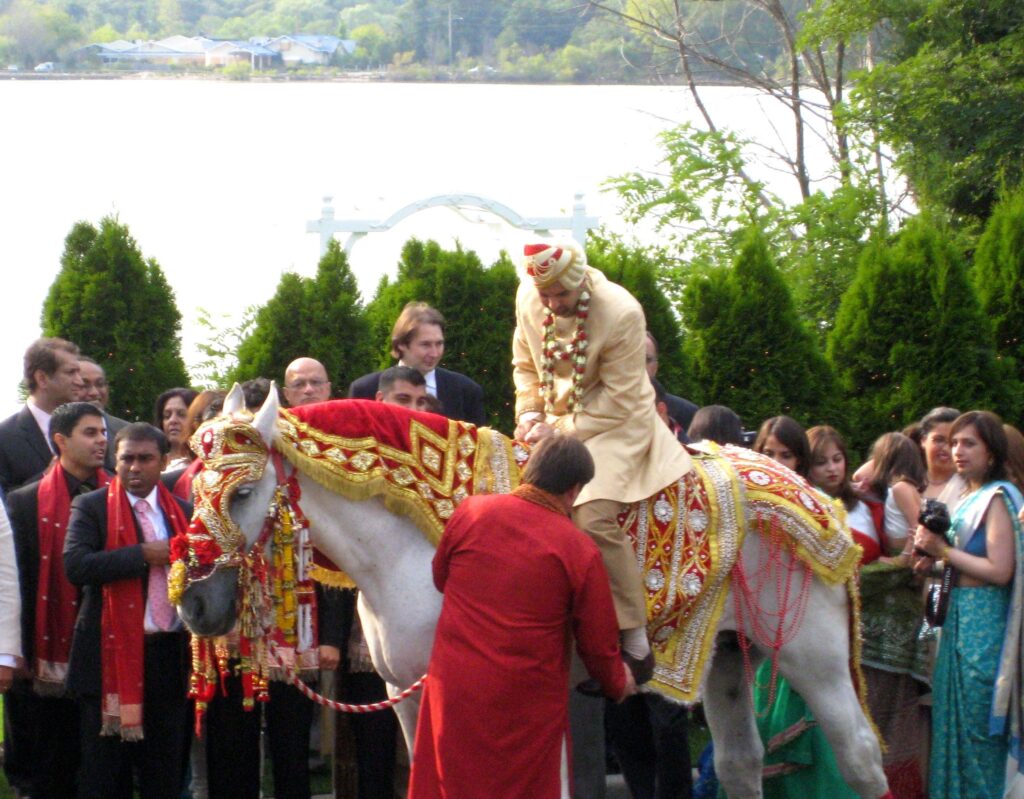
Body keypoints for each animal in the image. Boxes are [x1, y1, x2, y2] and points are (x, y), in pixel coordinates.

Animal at [176, 383, 888, 794]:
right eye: (191, 487)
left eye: (243, 492)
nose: (194, 603)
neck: (410, 541)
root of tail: (821, 502)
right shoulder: (404, 693)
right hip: (727, 657)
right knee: (742, 762)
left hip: (813, 654)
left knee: (858, 756)